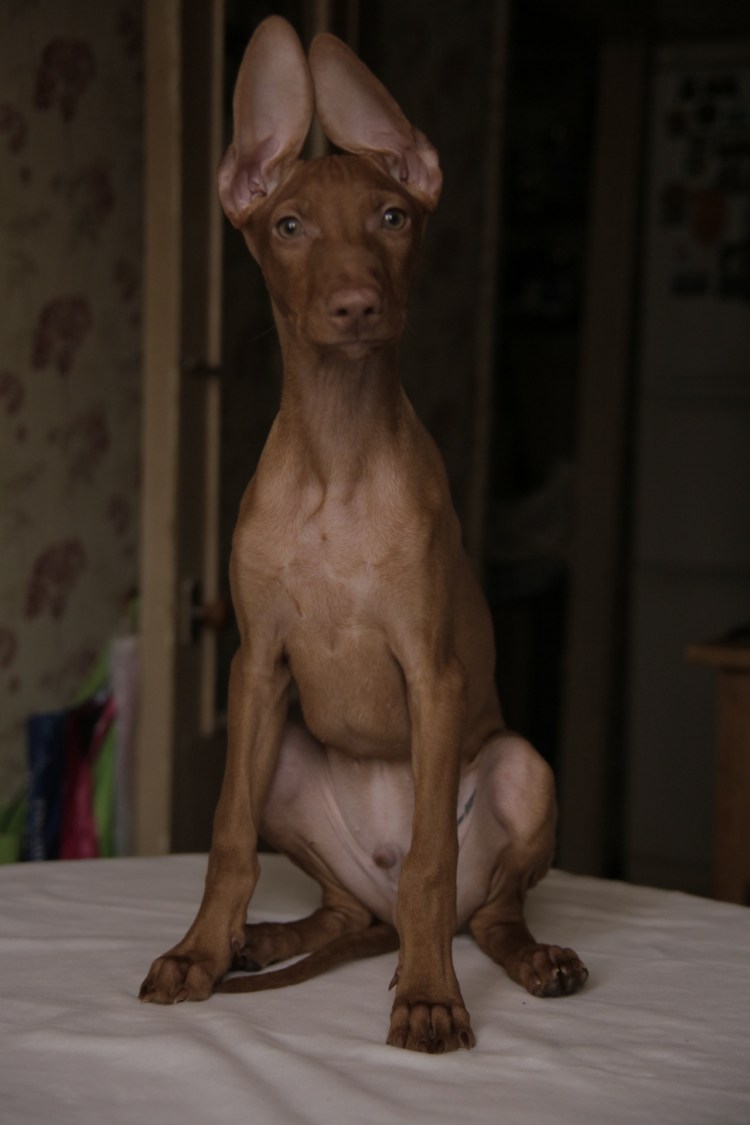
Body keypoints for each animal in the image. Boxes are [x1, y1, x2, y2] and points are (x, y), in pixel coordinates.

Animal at [139, 15, 588, 1054]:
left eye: (392, 217)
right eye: (288, 227)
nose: (354, 307)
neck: (337, 462)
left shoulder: (435, 672)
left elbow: (429, 862)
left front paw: (427, 998)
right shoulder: (256, 665)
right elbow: (225, 838)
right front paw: (197, 952)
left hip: (520, 767)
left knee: (476, 907)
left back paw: (529, 960)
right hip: (285, 759)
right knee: (344, 907)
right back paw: (260, 940)